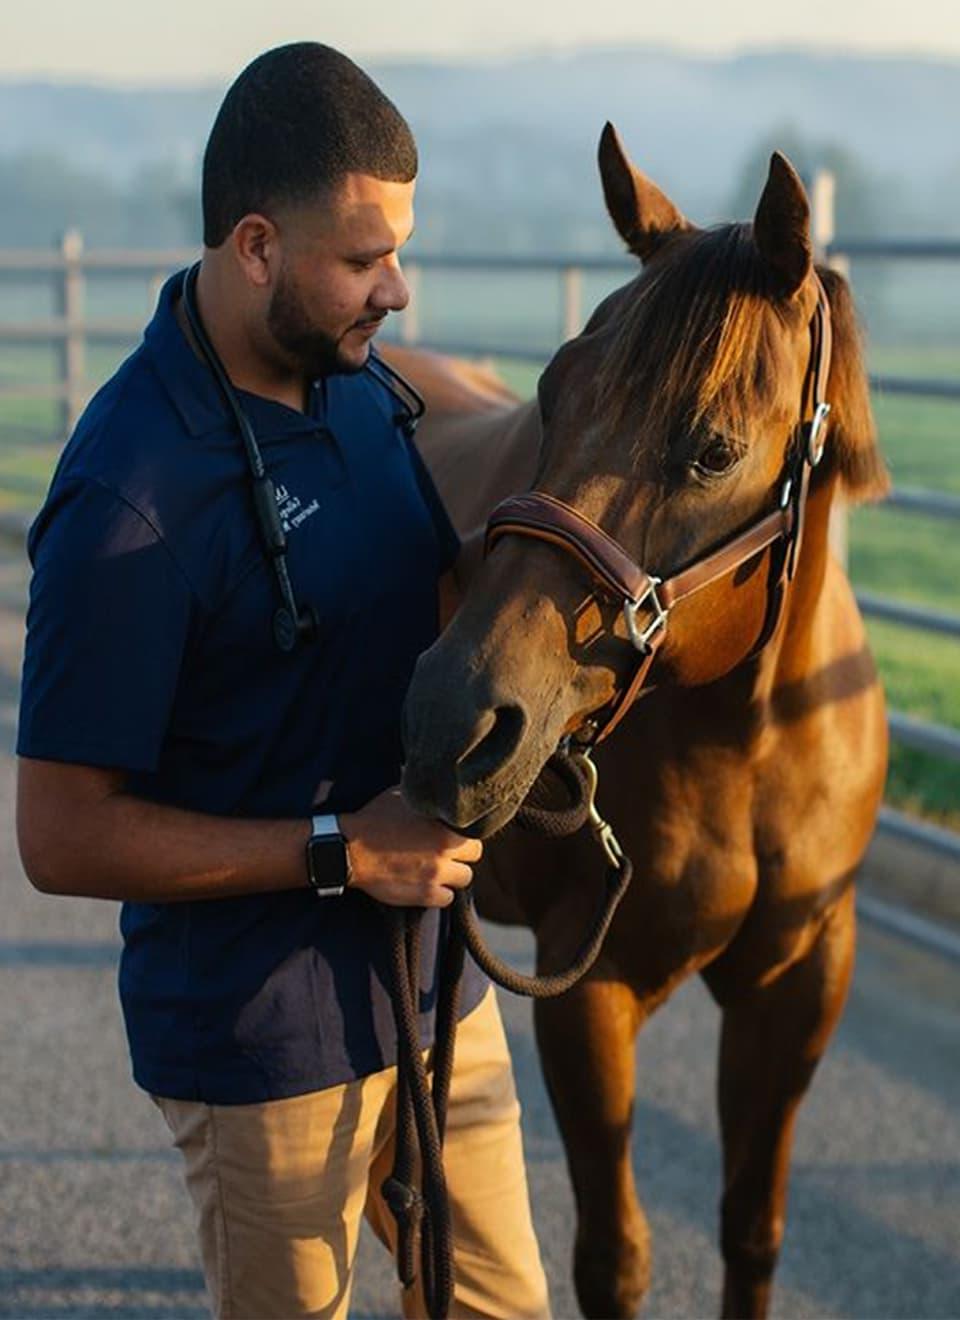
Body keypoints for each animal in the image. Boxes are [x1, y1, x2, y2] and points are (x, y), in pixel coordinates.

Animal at [396, 126, 887, 1320]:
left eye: (713, 449)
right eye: (554, 388)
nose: (450, 717)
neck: (753, 743)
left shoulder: (798, 984)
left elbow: (752, 1228)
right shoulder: (591, 991)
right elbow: (615, 1258)